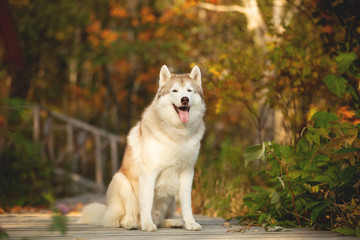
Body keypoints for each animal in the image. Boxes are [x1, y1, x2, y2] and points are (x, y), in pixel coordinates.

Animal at [79, 64, 207, 232]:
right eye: (175, 91)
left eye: (189, 90)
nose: (184, 99)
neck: (178, 133)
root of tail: (105, 214)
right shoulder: (149, 172)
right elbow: (147, 202)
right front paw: (147, 225)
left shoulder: (187, 172)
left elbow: (187, 203)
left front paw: (190, 223)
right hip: (121, 182)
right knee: (124, 218)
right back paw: (132, 224)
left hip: (170, 200)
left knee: (160, 218)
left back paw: (172, 222)